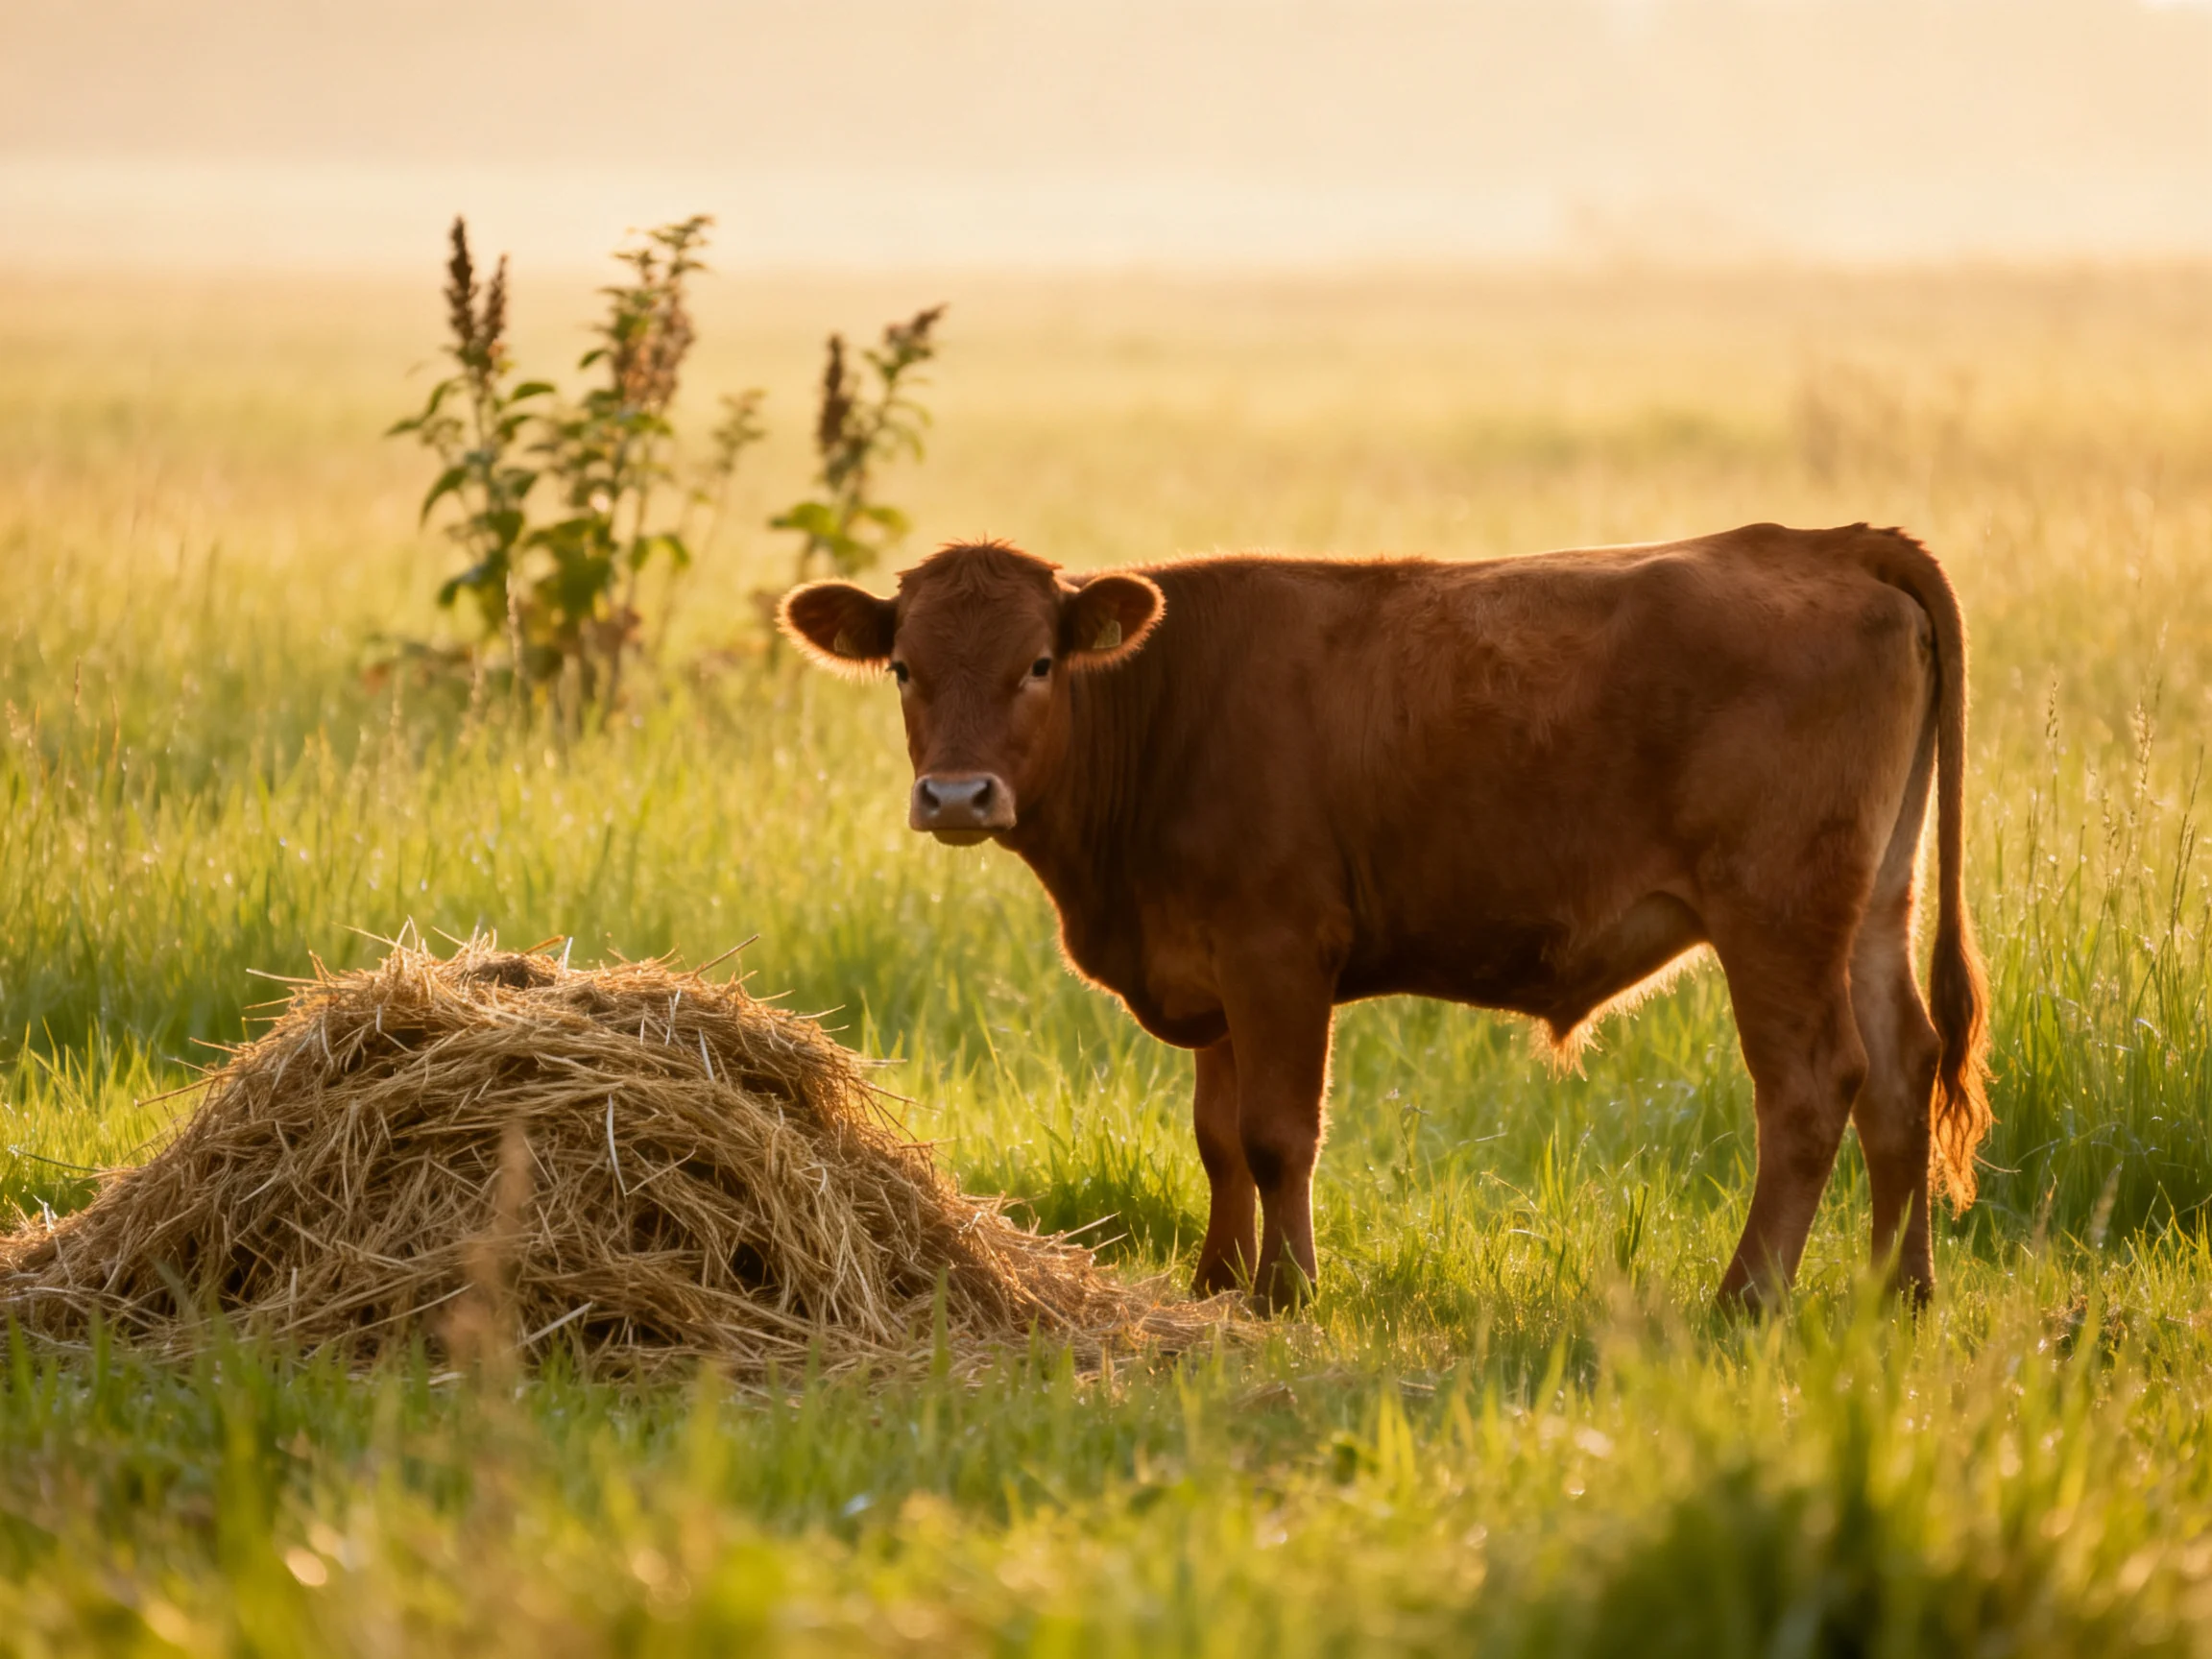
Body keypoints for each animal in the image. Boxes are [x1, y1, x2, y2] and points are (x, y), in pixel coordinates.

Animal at [780, 523, 1992, 1311]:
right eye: (904, 667)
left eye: (1039, 663)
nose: (957, 796)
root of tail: (1829, 541)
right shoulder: (1210, 967)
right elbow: (1216, 1137)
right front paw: (1216, 1283)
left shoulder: (1277, 951)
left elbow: (1276, 1135)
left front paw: (1287, 1293)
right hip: (1873, 902)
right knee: (1902, 1072)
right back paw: (1897, 1292)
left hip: (1777, 911)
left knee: (1811, 1087)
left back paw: (1747, 1298)